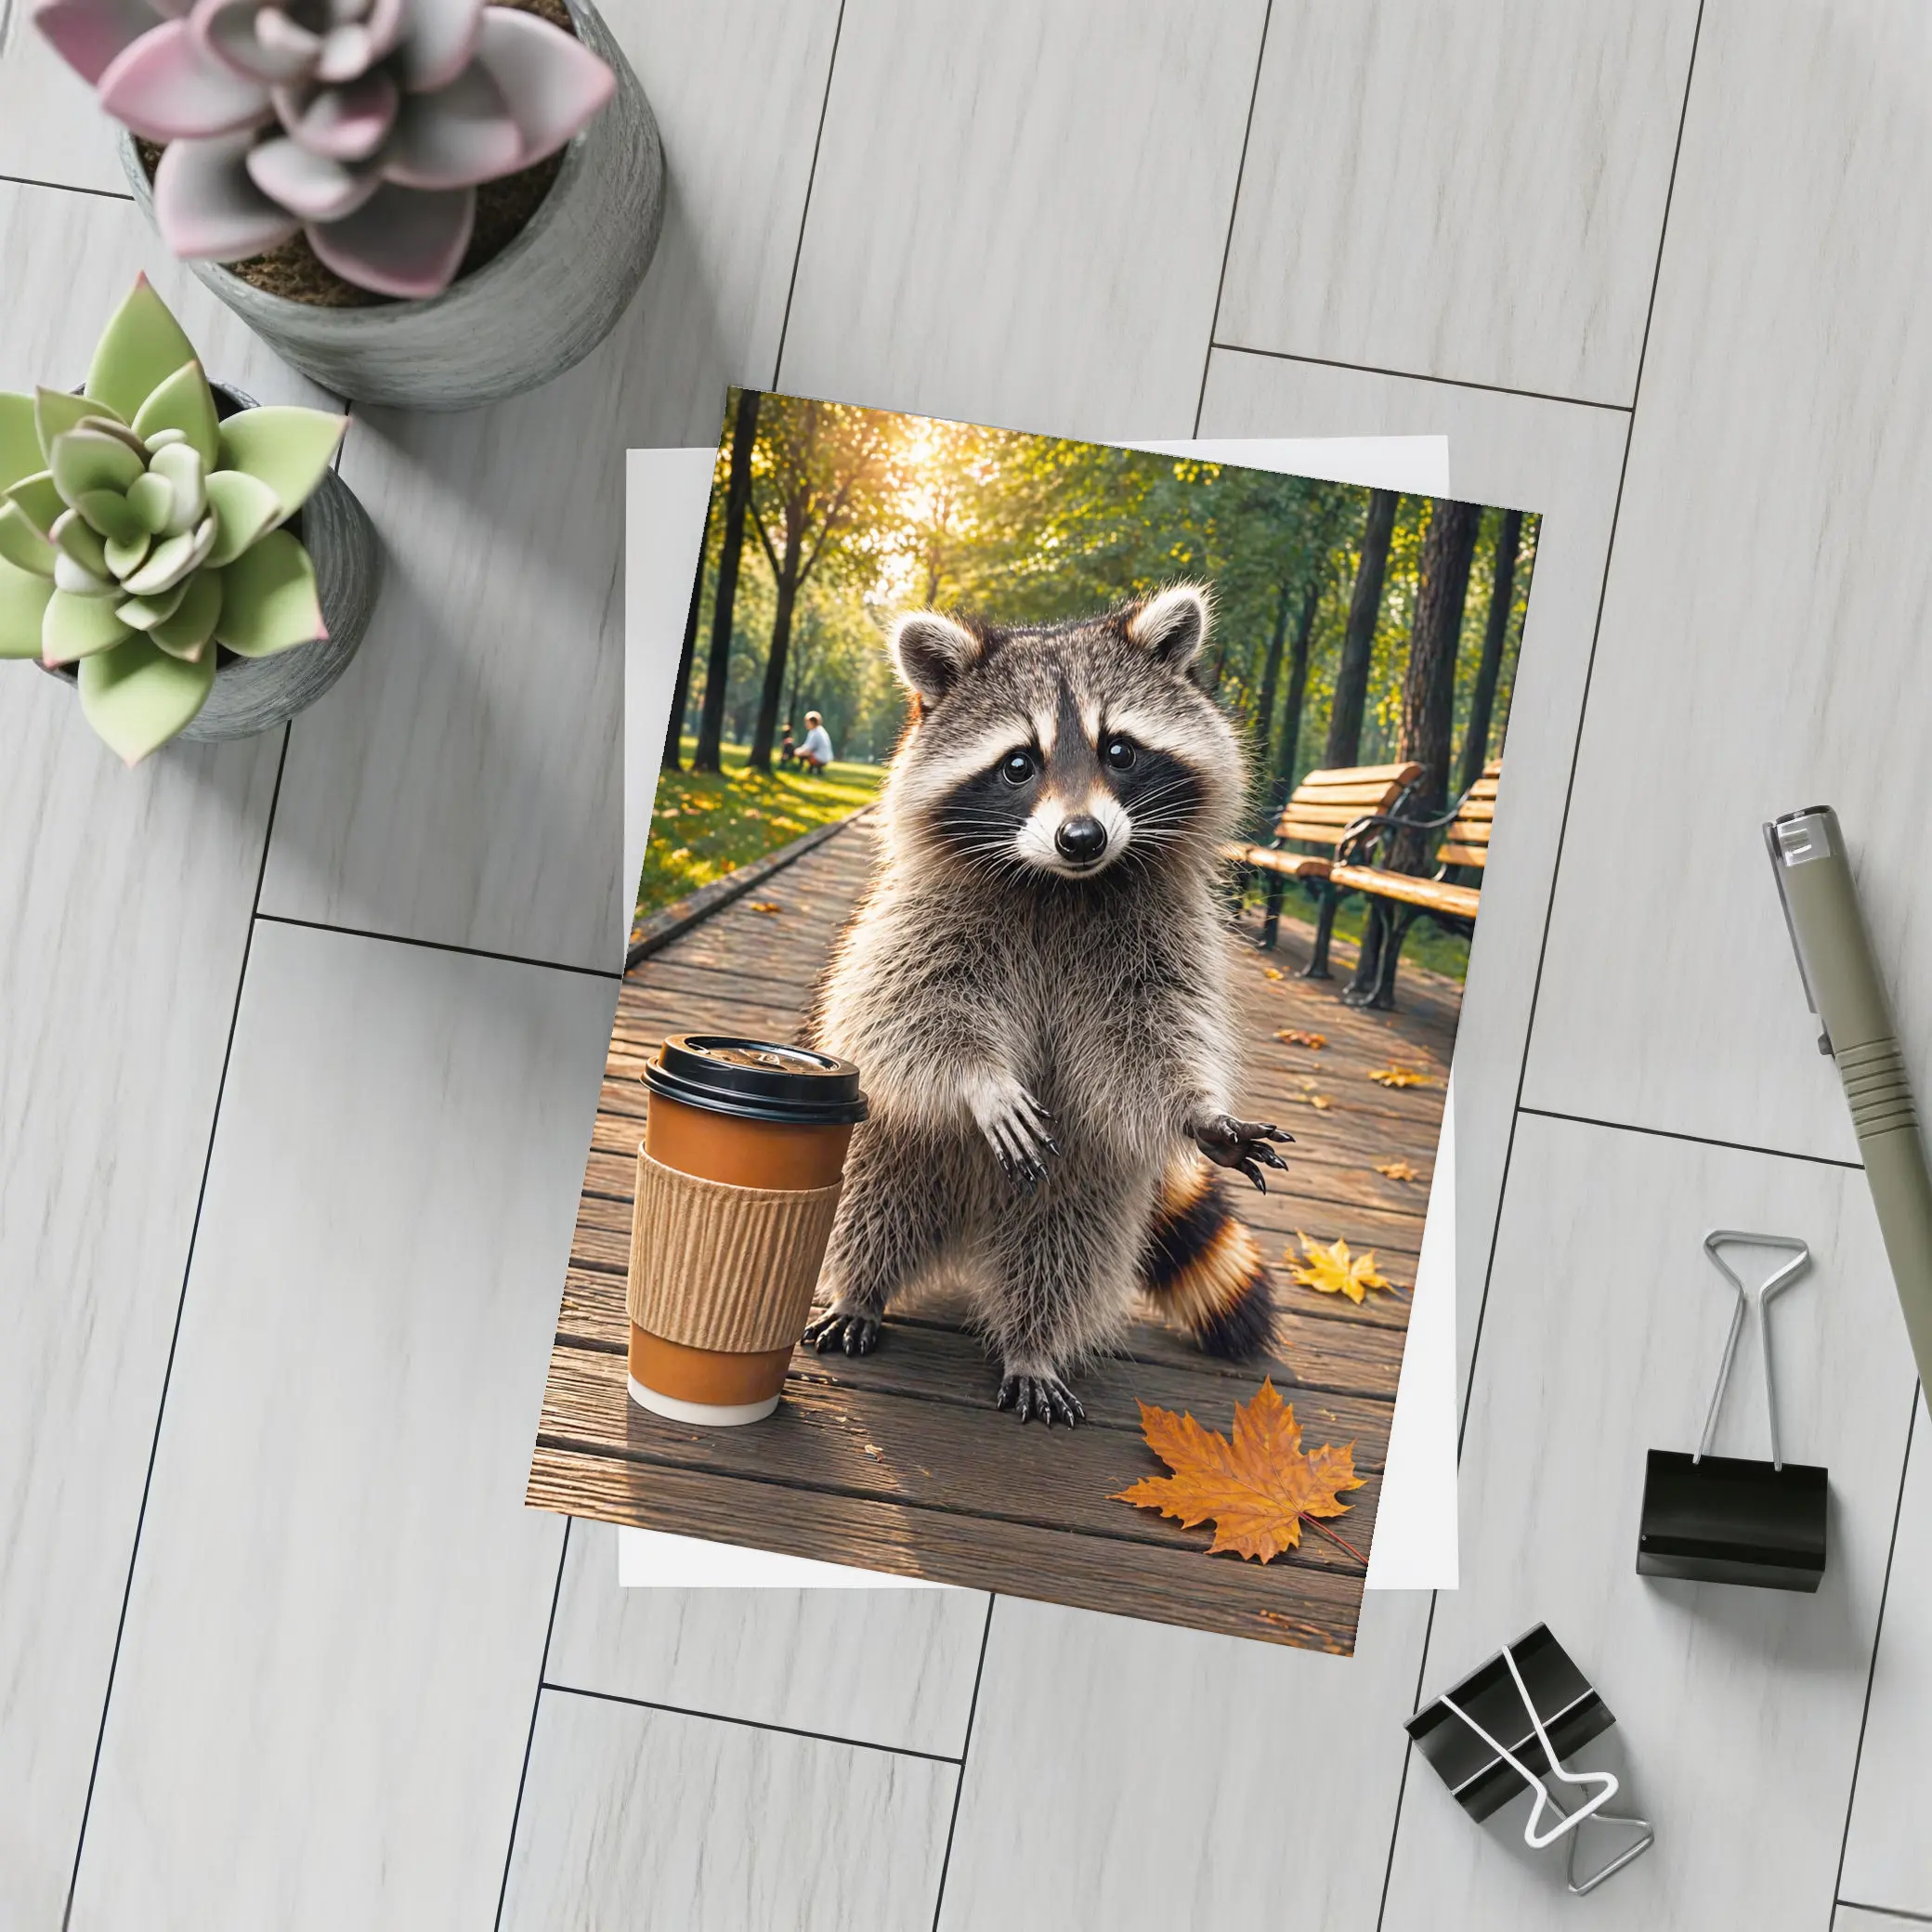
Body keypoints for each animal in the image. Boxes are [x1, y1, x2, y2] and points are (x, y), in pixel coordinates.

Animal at [803, 585, 1289, 1426]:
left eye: (1119, 750)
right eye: (1018, 764)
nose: (1082, 837)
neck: (1061, 887)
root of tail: (969, 1232)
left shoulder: (1159, 935)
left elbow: (1152, 1033)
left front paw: (1200, 1111)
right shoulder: (922, 920)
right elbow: (910, 1010)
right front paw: (982, 1082)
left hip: (1088, 1180)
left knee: (1064, 1252)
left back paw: (1033, 1344)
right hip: (897, 1143)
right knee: (872, 1197)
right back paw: (860, 1289)